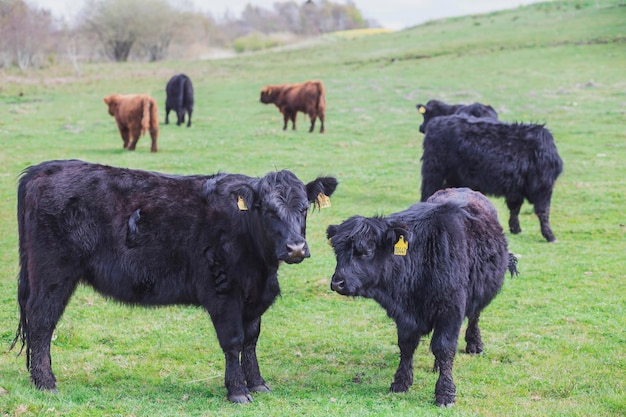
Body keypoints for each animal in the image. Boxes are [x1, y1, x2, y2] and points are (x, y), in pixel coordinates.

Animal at [11, 159, 336, 404]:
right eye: (268, 211)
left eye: (304, 209)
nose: (296, 248)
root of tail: (45, 168)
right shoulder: (224, 294)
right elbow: (233, 341)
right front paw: (238, 391)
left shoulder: (254, 298)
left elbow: (251, 340)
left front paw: (257, 383)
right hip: (53, 274)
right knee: (41, 322)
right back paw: (46, 383)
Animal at [324, 187, 516, 404]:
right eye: (337, 251)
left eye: (366, 251)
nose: (337, 282)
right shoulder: (404, 317)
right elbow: (407, 346)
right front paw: (400, 382)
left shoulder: (451, 309)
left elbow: (444, 348)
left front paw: (445, 392)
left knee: (474, 317)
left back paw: (474, 345)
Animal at [420, 114, 560, 244]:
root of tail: (436, 122)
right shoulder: (543, 186)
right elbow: (543, 211)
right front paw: (550, 236)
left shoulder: (516, 189)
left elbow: (515, 208)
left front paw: (516, 229)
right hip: (434, 172)